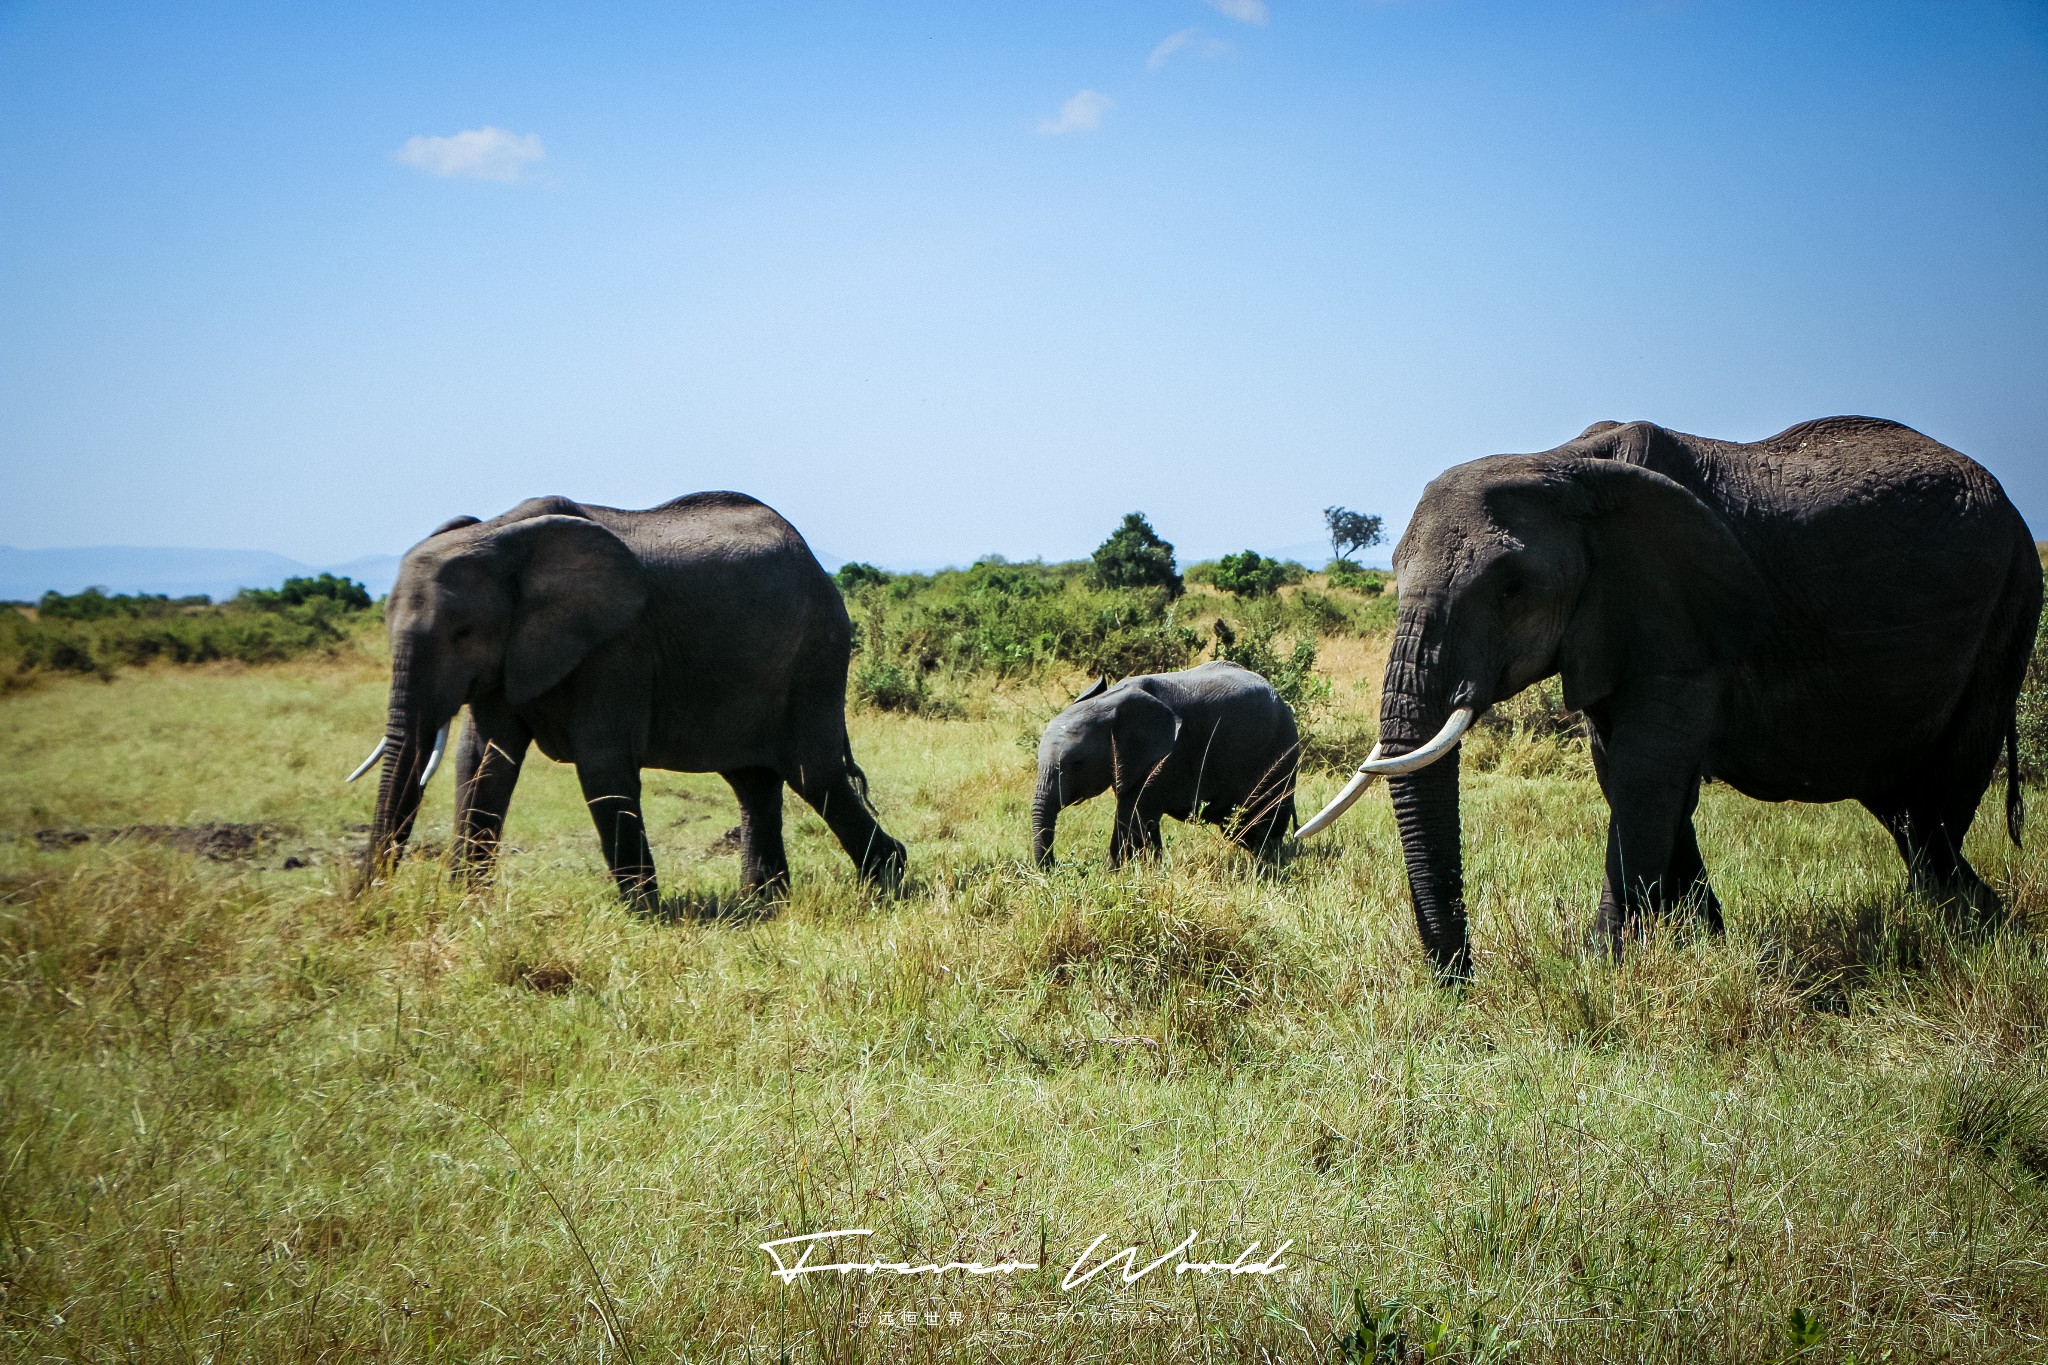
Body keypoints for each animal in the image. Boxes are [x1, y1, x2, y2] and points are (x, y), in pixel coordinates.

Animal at [350, 491, 905, 908]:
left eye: (463, 633)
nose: (368, 897)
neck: (501, 534)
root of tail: (813, 559)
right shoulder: (510, 656)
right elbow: (482, 762)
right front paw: (467, 905)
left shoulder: (617, 647)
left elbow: (602, 765)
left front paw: (645, 915)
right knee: (754, 781)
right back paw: (763, 901)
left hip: (816, 654)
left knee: (814, 773)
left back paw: (887, 882)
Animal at [1032, 658, 1302, 871]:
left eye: (1077, 763)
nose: (1055, 867)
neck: (1109, 702)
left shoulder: (1165, 758)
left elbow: (1134, 815)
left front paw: (1114, 874)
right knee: (1238, 829)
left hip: (1280, 752)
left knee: (1262, 822)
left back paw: (1268, 862)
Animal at [1302, 417, 2039, 982]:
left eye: (1512, 587)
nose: (1459, 985)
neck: (1562, 463)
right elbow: (1634, 778)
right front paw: (1704, 943)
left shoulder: (1680, 618)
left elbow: (1644, 777)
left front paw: (1602, 967)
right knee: (1905, 804)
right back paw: (1974, 920)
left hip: (2011, 607)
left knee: (1937, 802)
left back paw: (1947, 932)